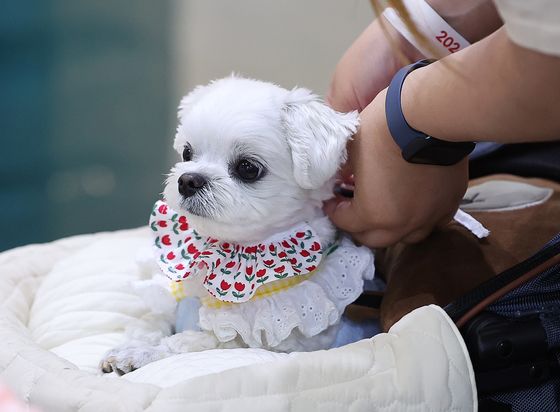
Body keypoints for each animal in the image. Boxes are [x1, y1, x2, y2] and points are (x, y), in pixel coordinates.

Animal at [100, 75, 374, 374]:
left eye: (248, 168)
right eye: (187, 153)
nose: (188, 180)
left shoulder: (273, 339)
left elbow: (194, 342)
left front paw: (143, 352)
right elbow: (153, 318)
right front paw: (136, 341)